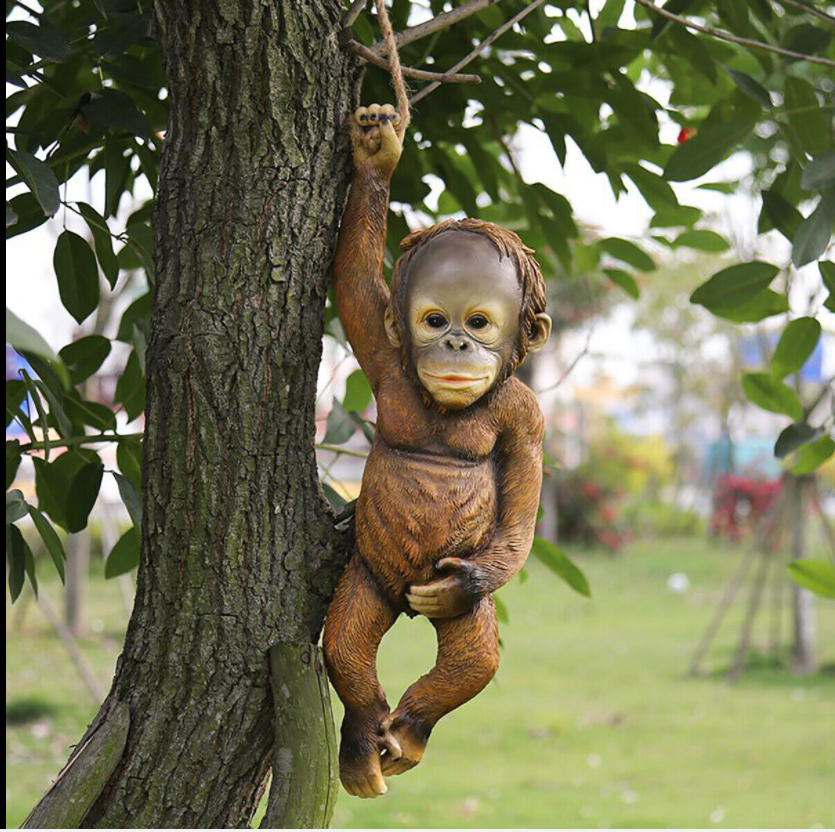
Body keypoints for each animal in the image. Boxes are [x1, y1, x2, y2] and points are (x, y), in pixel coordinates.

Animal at [323, 103, 552, 799]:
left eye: (478, 322)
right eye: (432, 319)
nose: (454, 343)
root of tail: (404, 602)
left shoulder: (527, 416)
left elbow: (522, 513)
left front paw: (467, 583)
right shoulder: (383, 358)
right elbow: (354, 284)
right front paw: (377, 153)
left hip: (441, 597)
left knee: (474, 657)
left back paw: (409, 732)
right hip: (369, 576)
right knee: (345, 642)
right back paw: (365, 743)